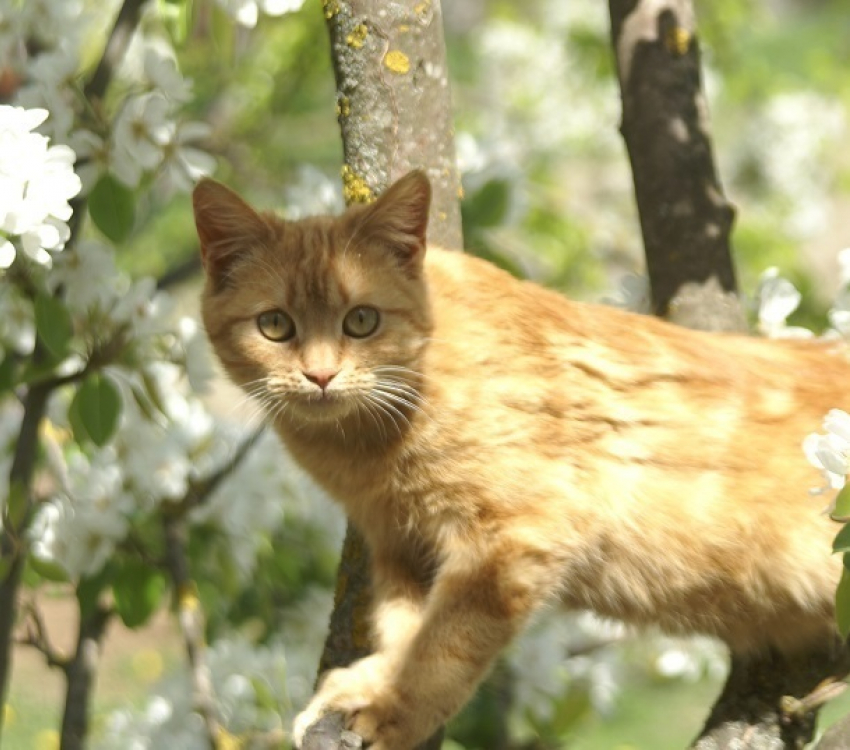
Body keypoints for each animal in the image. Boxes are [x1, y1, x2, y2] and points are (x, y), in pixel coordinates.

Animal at [194, 172, 848, 750]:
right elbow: (405, 632)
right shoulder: (402, 549)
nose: (321, 376)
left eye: (361, 320)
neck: (368, 452)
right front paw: (369, 685)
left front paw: (389, 709)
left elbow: (442, 647)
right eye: (275, 325)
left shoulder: (510, 542)